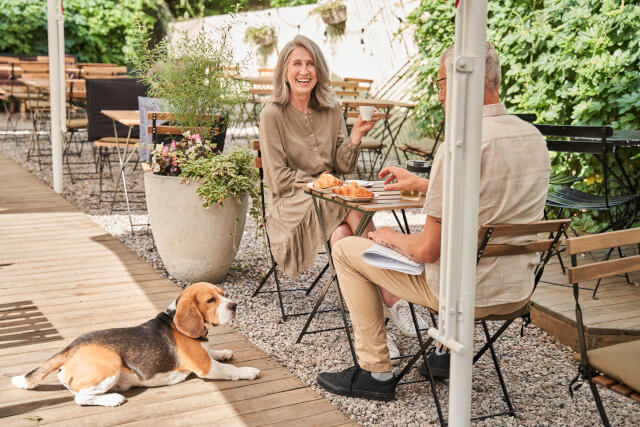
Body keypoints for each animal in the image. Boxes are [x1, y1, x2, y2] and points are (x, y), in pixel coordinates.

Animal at [10, 282, 260, 406]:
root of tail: (71, 348)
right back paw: (113, 399)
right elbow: (231, 370)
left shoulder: (205, 355)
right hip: (110, 364)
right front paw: (249, 371)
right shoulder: (206, 367)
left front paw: (224, 351)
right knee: (80, 398)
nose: (235, 305)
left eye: (222, 293)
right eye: (210, 300)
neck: (174, 320)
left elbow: (214, 352)